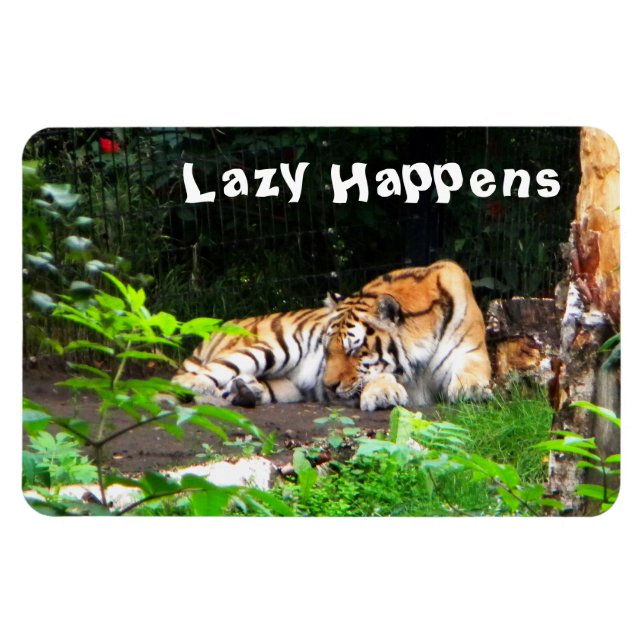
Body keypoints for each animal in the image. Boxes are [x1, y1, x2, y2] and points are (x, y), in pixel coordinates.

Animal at [172, 260, 492, 410]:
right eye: (327, 349)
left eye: (354, 349)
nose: (327, 385)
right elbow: (376, 376)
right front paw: (383, 392)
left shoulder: (470, 351)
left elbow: (473, 372)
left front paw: (473, 390)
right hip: (271, 347)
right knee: (188, 379)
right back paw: (202, 390)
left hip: (288, 386)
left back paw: (246, 391)